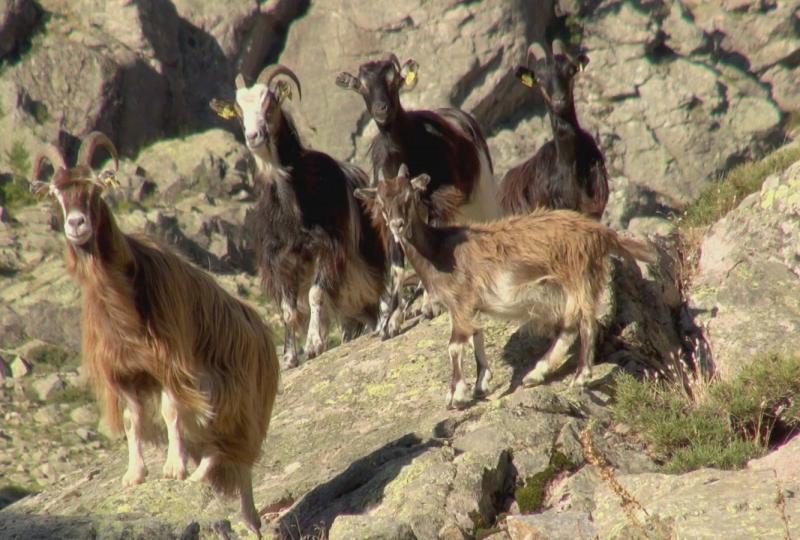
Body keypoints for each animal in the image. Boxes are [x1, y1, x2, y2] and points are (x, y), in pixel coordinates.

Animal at [31, 132, 282, 536]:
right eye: (56, 193)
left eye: (95, 189)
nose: (77, 225)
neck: (123, 300)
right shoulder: (126, 375)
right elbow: (132, 422)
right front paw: (134, 475)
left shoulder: (171, 366)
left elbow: (170, 411)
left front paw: (173, 468)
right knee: (220, 454)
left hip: (237, 403)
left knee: (231, 455)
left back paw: (224, 500)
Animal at [211, 63, 390, 368]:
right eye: (238, 110)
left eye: (270, 102)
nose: (253, 137)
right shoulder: (278, 261)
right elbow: (288, 310)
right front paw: (289, 356)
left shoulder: (328, 246)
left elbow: (316, 294)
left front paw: (314, 344)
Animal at [336, 54, 500, 340]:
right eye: (362, 86)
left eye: (395, 81)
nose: (381, 109)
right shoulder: (388, 214)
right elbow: (398, 266)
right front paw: (390, 322)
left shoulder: (439, 200)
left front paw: (429, 304)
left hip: (482, 196)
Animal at [358, 166, 656, 410]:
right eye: (382, 202)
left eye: (409, 197)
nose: (397, 226)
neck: (439, 251)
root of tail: (600, 233)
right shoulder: (469, 306)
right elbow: (476, 335)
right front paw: (481, 383)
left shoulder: (460, 300)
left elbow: (455, 344)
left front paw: (457, 395)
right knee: (570, 327)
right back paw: (536, 373)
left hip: (579, 278)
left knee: (585, 324)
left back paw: (580, 377)